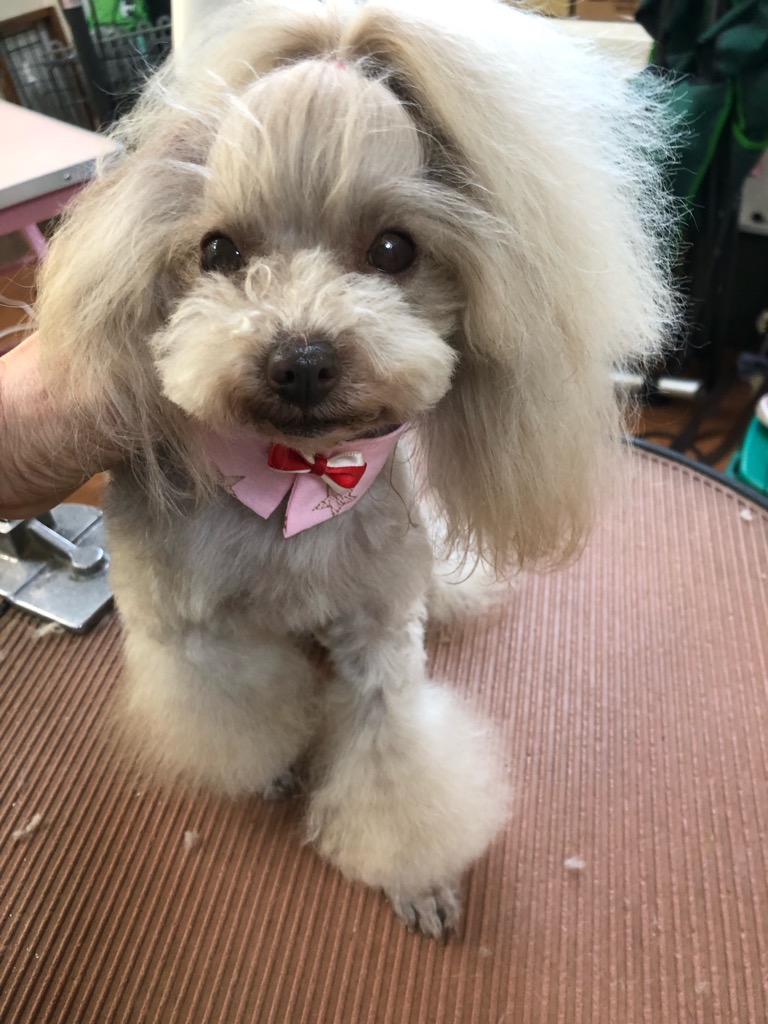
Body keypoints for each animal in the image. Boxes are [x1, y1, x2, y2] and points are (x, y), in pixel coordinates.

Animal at [36, 0, 676, 937]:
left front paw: (419, 876)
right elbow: (230, 710)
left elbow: (395, 759)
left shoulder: (380, 632)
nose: (299, 360)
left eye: (393, 248)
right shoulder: (185, 631)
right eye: (219, 251)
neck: (298, 480)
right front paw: (267, 766)